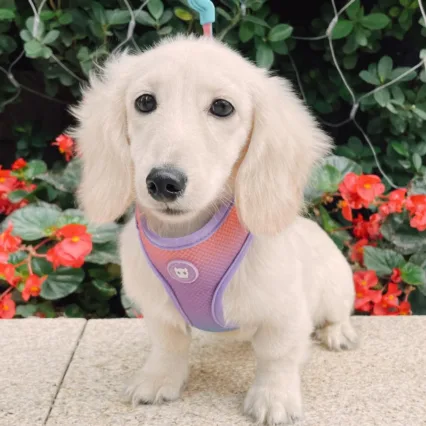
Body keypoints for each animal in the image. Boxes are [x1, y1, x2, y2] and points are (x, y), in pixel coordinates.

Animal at [71, 35, 358, 424]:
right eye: (144, 101)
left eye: (222, 107)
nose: (164, 182)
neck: (188, 238)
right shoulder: (159, 309)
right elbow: (168, 346)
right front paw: (157, 380)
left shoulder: (285, 312)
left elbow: (277, 356)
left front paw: (274, 398)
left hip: (336, 288)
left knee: (335, 314)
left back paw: (338, 332)